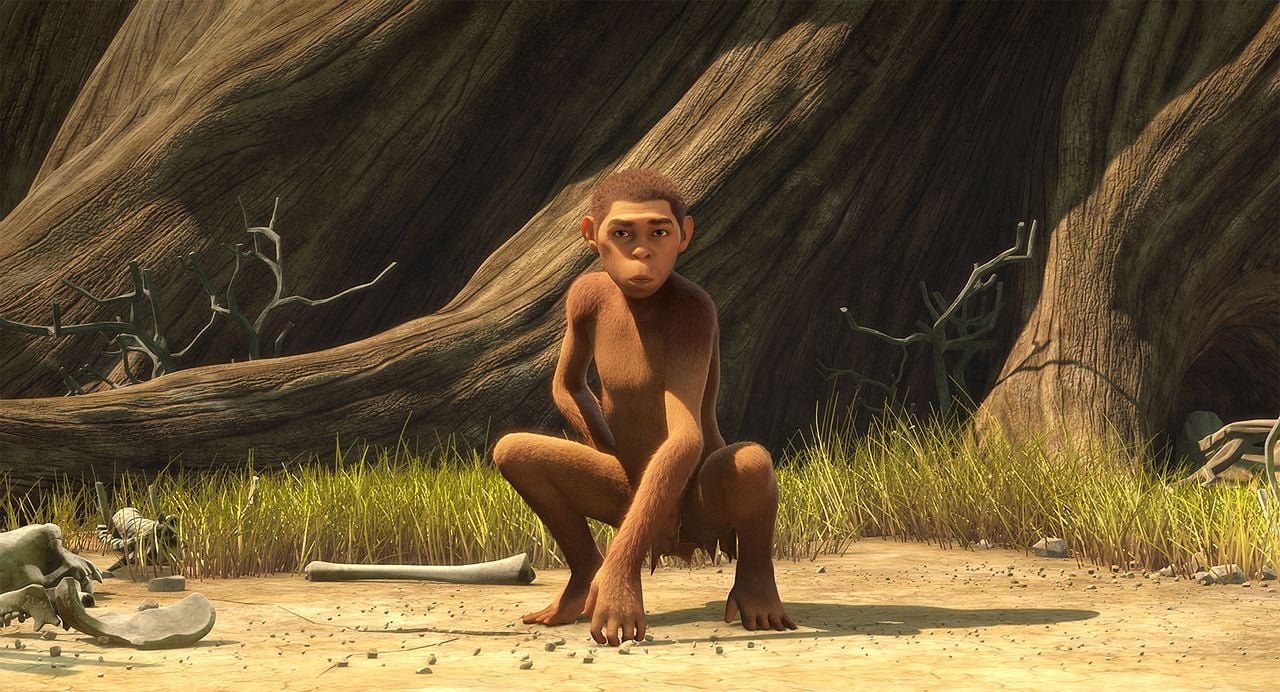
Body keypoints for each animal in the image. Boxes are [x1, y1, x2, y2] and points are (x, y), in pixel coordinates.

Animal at [492, 169, 797, 647]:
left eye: (659, 231)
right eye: (621, 233)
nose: (642, 254)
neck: (641, 301)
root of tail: (673, 545)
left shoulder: (694, 314)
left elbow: (685, 435)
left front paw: (617, 591)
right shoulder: (582, 294)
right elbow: (567, 383)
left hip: (694, 519)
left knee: (748, 462)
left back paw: (758, 597)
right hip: (627, 503)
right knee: (517, 453)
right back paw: (581, 587)